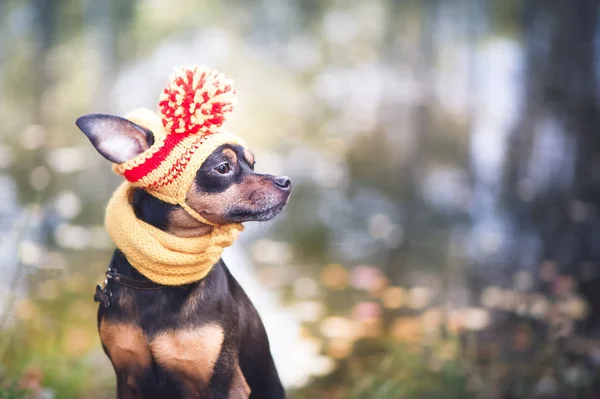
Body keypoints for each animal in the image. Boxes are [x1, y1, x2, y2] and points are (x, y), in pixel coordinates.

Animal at [76, 110, 292, 399]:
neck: (160, 281)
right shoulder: (127, 379)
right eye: (223, 167)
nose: (286, 182)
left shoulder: (223, 385)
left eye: (253, 164)